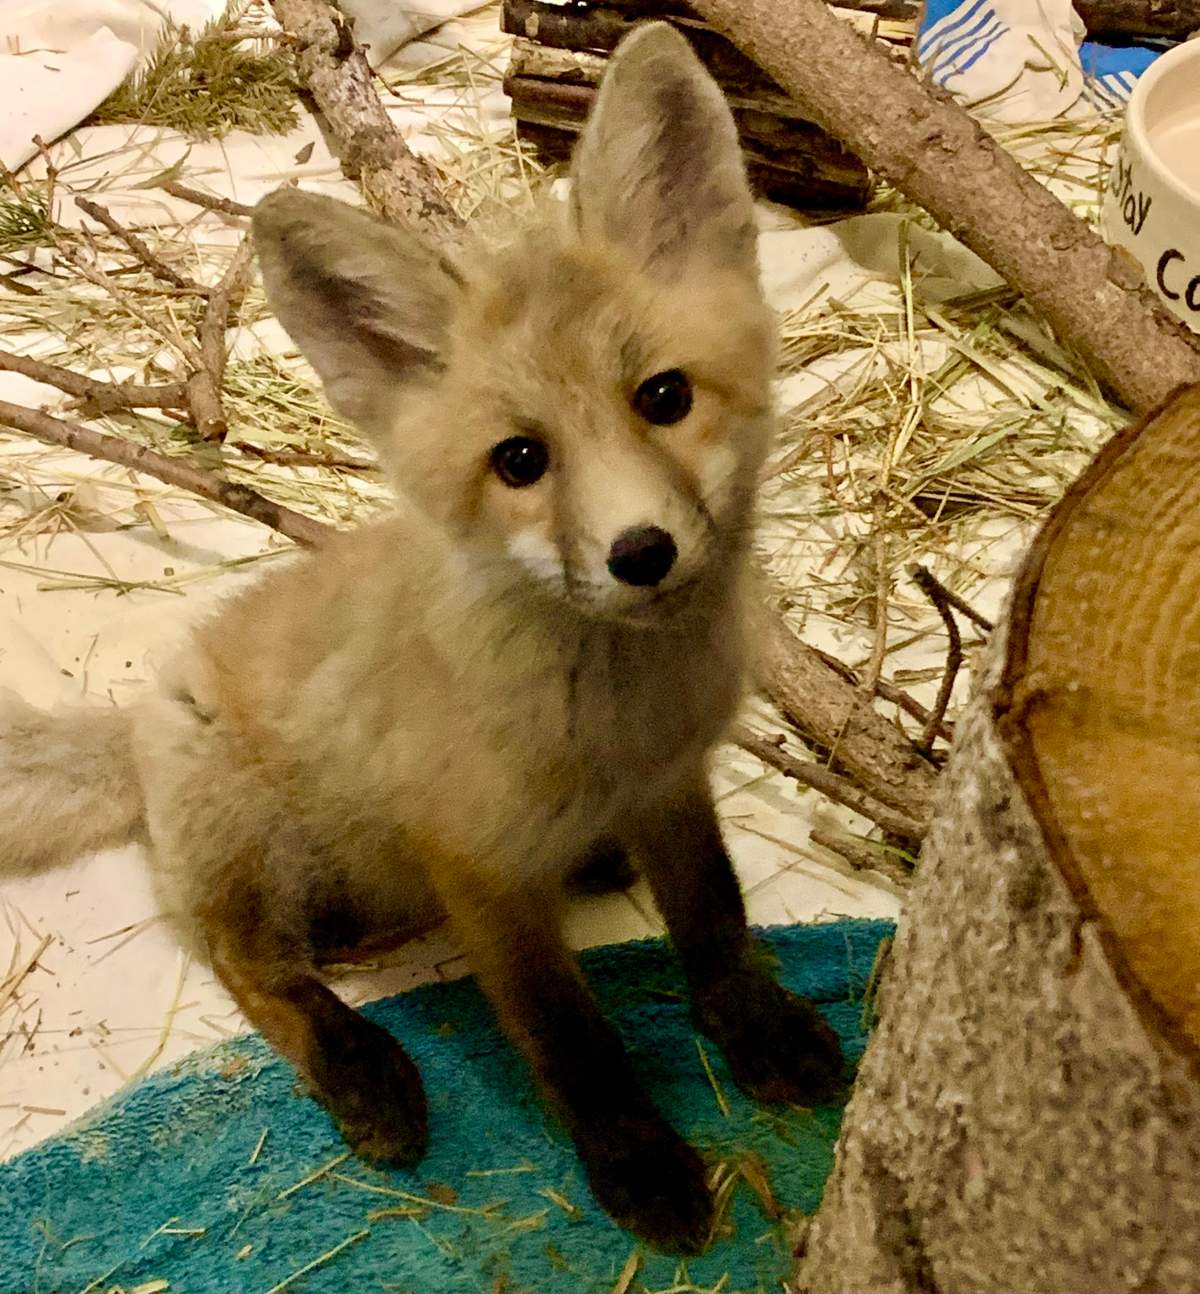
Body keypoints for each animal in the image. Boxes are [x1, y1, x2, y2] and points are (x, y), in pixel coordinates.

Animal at [0, 23, 844, 1251]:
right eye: (520, 461)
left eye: (664, 397)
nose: (641, 553)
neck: (616, 720)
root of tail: (145, 711)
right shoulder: (478, 868)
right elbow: (572, 1041)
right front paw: (638, 1162)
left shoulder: (672, 785)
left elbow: (717, 919)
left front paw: (757, 1029)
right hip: (249, 847)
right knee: (255, 964)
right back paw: (365, 1069)